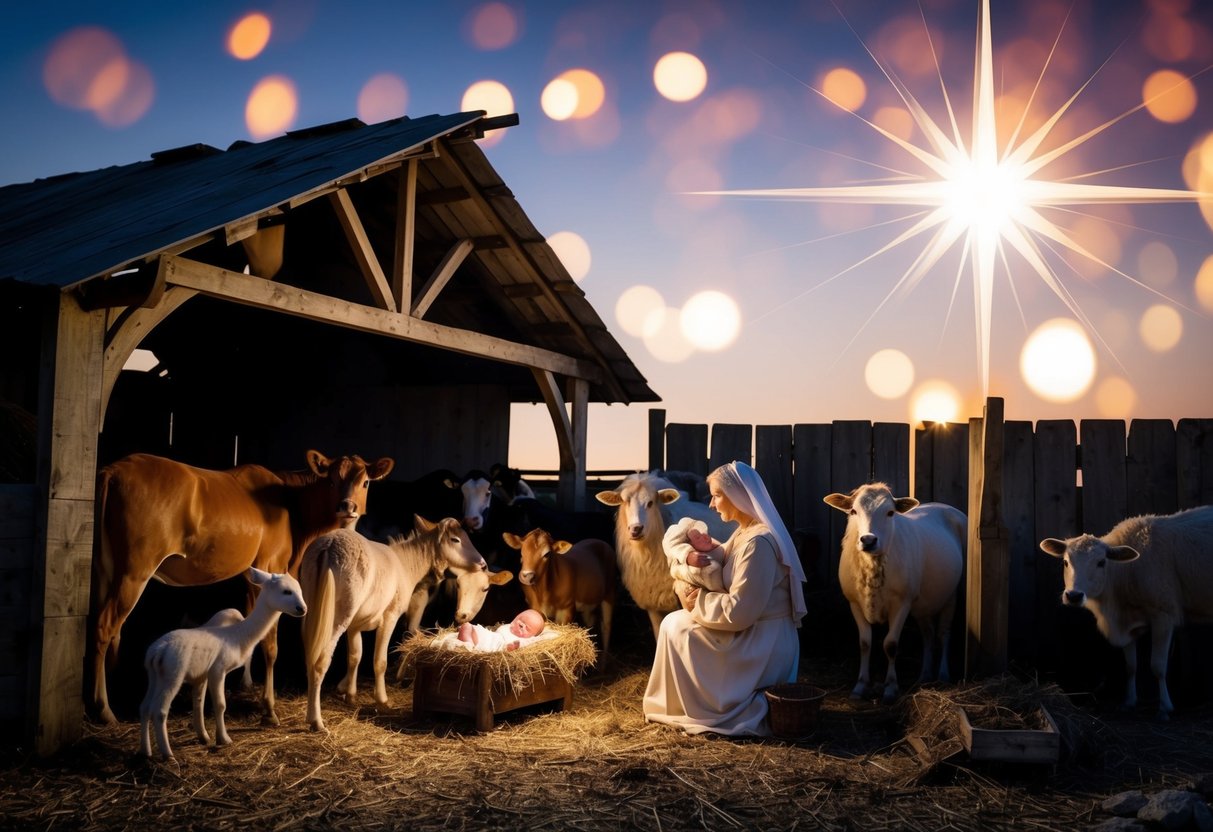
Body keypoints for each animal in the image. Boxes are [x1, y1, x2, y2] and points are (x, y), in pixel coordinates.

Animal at [90, 446, 393, 727]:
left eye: (365, 482)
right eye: (330, 480)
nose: (347, 507)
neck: (291, 504)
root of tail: (113, 470)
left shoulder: (251, 575)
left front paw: (245, 682)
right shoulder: (272, 565)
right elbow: (270, 643)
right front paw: (269, 708)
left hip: (107, 571)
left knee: (114, 630)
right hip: (135, 571)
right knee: (104, 626)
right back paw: (104, 709)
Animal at [138, 570, 308, 761]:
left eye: (300, 590)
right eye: (286, 592)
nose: (302, 609)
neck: (238, 635)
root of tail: (156, 653)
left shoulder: (201, 674)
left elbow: (198, 703)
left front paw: (204, 737)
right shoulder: (218, 669)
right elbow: (220, 704)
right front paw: (224, 739)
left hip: (154, 675)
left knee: (145, 707)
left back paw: (145, 751)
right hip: (173, 673)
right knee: (159, 710)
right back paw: (168, 754)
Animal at [824, 485, 965, 708]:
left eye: (890, 513)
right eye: (853, 511)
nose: (868, 540)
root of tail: (943, 505)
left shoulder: (902, 603)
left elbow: (890, 645)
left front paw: (890, 688)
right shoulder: (854, 602)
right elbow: (865, 643)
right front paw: (860, 686)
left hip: (951, 594)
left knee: (944, 634)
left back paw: (943, 675)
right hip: (923, 604)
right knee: (928, 634)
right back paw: (925, 675)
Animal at [1038, 504, 1213, 717]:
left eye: (1101, 562)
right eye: (1065, 562)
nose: (1073, 596)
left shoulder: (1163, 613)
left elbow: (1158, 666)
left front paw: (1164, 706)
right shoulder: (1126, 621)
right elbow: (1130, 666)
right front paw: (1129, 702)